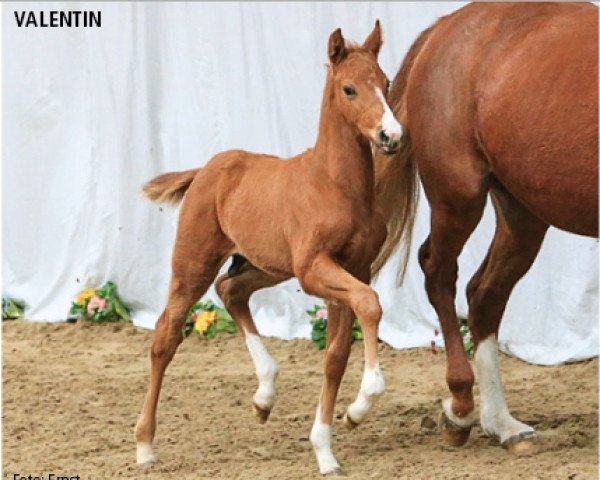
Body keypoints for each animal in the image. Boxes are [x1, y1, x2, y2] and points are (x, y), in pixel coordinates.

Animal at [134, 22, 410, 476]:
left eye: (386, 83)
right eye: (349, 89)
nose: (392, 136)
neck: (335, 187)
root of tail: (207, 169)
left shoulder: (354, 267)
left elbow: (336, 355)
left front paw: (330, 442)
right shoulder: (315, 269)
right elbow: (370, 305)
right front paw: (365, 397)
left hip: (267, 265)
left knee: (231, 290)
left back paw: (264, 395)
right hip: (194, 263)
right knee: (166, 336)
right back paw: (144, 445)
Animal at [378, 1, 596, 454]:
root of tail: (445, 28)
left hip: (522, 213)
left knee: (485, 296)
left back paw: (504, 426)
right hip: (458, 197)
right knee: (439, 273)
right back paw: (460, 410)